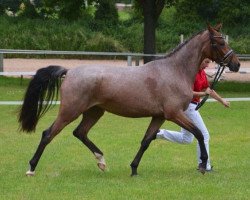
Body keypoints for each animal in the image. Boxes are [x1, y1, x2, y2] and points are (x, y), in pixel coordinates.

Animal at [18, 23, 240, 177]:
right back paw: (31, 168)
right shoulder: (174, 114)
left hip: (94, 111)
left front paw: (134, 169)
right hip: (70, 111)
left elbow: (146, 141)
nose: (236, 64)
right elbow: (199, 134)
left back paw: (101, 161)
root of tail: (70, 71)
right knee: (48, 134)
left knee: (80, 132)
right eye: (221, 42)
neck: (174, 70)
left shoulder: (159, 116)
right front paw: (202, 165)